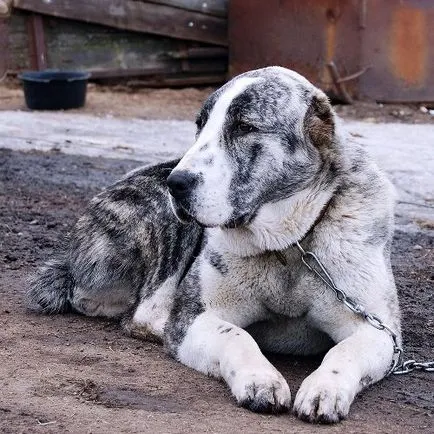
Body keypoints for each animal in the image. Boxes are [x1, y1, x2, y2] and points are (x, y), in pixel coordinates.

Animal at [27, 66, 400, 422]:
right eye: (200, 126)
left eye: (244, 127)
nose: (176, 182)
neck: (288, 247)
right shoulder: (199, 316)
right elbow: (235, 336)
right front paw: (260, 379)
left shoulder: (378, 330)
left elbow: (344, 351)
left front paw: (326, 389)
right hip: (165, 220)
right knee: (142, 312)